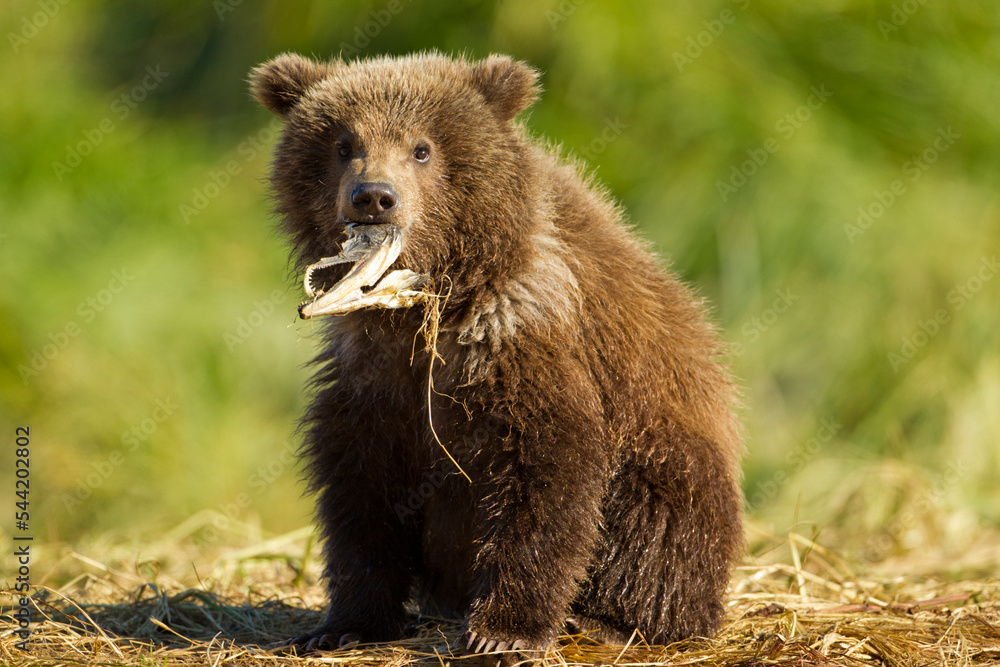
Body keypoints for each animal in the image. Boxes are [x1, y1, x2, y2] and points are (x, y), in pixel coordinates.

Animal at [249, 51, 743, 659]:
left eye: (422, 148)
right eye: (344, 144)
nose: (374, 197)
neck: (428, 304)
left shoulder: (523, 338)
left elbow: (547, 469)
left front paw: (503, 631)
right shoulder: (373, 376)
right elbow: (360, 487)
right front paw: (345, 623)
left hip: (668, 466)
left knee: (652, 528)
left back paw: (605, 619)